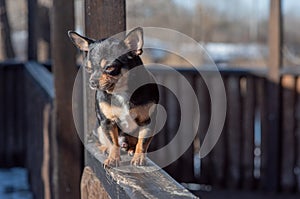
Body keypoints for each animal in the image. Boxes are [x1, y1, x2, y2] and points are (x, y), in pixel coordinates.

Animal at [67, 27, 157, 166]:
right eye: (88, 69)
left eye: (109, 68)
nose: (92, 82)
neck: (120, 92)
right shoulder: (107, 122)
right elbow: (113, 142)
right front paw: (113, 158)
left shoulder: (147, 122)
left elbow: (142, 142)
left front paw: (139, 157)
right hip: (98, 128)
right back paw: (106, 148)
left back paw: (130, 149)